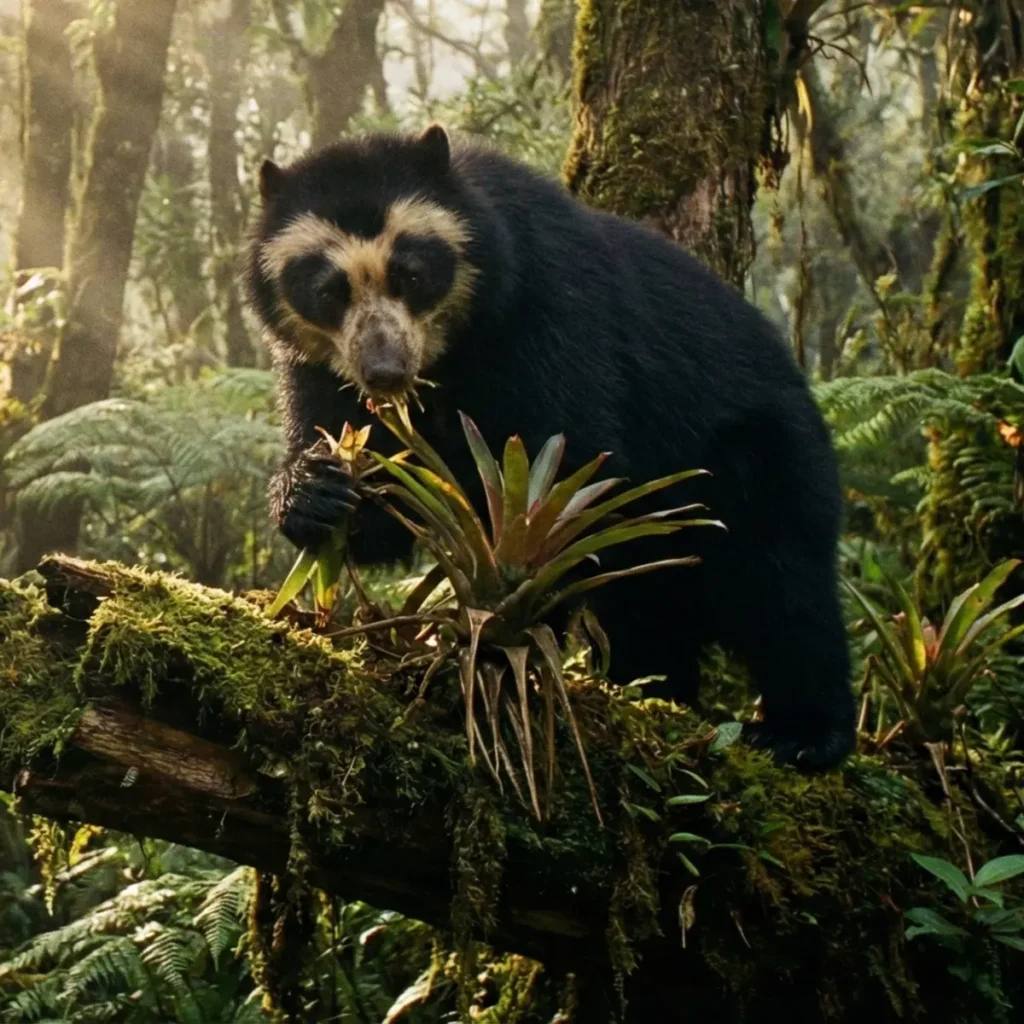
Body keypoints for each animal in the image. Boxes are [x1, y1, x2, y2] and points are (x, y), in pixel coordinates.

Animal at [244, 124, 856, 770]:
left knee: (782, 582)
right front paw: (319, 490)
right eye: (328, 292)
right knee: (650, 604)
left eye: (411, 274)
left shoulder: (547, 310)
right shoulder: (317, 368)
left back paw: (802, 734)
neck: (450, 355)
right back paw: (651, 690)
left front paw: (499, 641)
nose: (384, 371)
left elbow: (569, 465)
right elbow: (370, 487)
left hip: (764, 453)